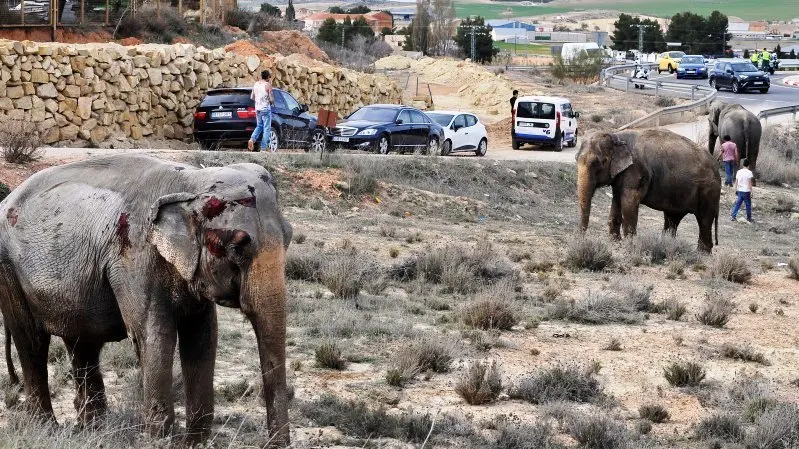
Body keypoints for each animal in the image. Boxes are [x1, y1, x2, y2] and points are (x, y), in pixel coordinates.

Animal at [0, 153, 294, 444]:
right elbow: (154, 336)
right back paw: (47, 427)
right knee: (31, 341)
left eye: (289, 235)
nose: (271, 443)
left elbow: (203, 336)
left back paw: (91, 430)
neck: (191, 181)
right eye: (236, 247)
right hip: (8, 270)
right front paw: (158, 442)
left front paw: (194, 443)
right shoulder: (134, 257)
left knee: (82, 344)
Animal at [576, 129, 724, 252]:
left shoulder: (635, 171)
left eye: (599, 162)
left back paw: (701, 254)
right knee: (672, 219)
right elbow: (617, 201)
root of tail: (717, 168)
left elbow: (629, 203)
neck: (617, 136)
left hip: (708, 192)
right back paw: (668, 245)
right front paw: (614, 243)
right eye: (576, 159)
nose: (582, 240)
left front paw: (629, 246)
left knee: (704, 220)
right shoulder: (621, 176)